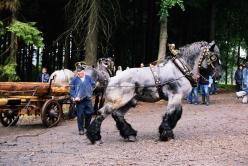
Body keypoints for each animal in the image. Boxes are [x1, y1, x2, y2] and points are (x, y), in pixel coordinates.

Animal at [86, 41, 221, 144]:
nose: (219, 76)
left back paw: (130, 134)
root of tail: (111, 79)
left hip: (129, 101)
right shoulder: (175, 96)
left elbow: (176, 114)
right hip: (118, 101)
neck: (180, 69)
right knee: (102, 113)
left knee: (117, 114)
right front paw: (166, 134)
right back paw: (95, 137)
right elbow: (171, 114)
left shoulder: (177, 98)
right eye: (214, 57)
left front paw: (165, 132)